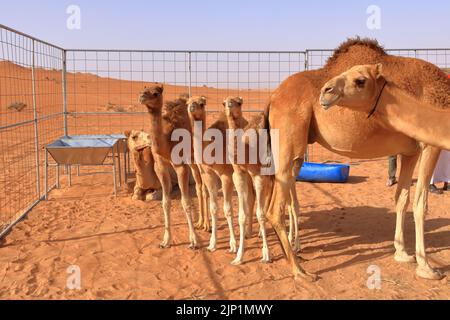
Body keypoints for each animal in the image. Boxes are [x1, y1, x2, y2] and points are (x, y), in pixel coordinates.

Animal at [139, 87, 206, 250]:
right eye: (144, 89)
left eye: (156, 93)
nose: (142, 96)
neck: (166, 141)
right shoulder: (160, 166)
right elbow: (165, 202)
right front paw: (166, 241)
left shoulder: (180, 165)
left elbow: (186, 202)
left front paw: (194, 241)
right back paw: (200, 223)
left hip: (195, 157)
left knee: (202, 185)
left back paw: (205, 224)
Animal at [264, 38, 450, 280]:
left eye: (361, 80)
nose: (326, 92)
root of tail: (273, 97)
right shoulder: (430, 145)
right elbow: (421, 205)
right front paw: (427, 268)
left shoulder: (411, 151)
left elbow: (402, 198)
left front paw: (402, 254)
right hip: (289, 140)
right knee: (275, 207)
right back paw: (300, 271)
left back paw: (293, 254)